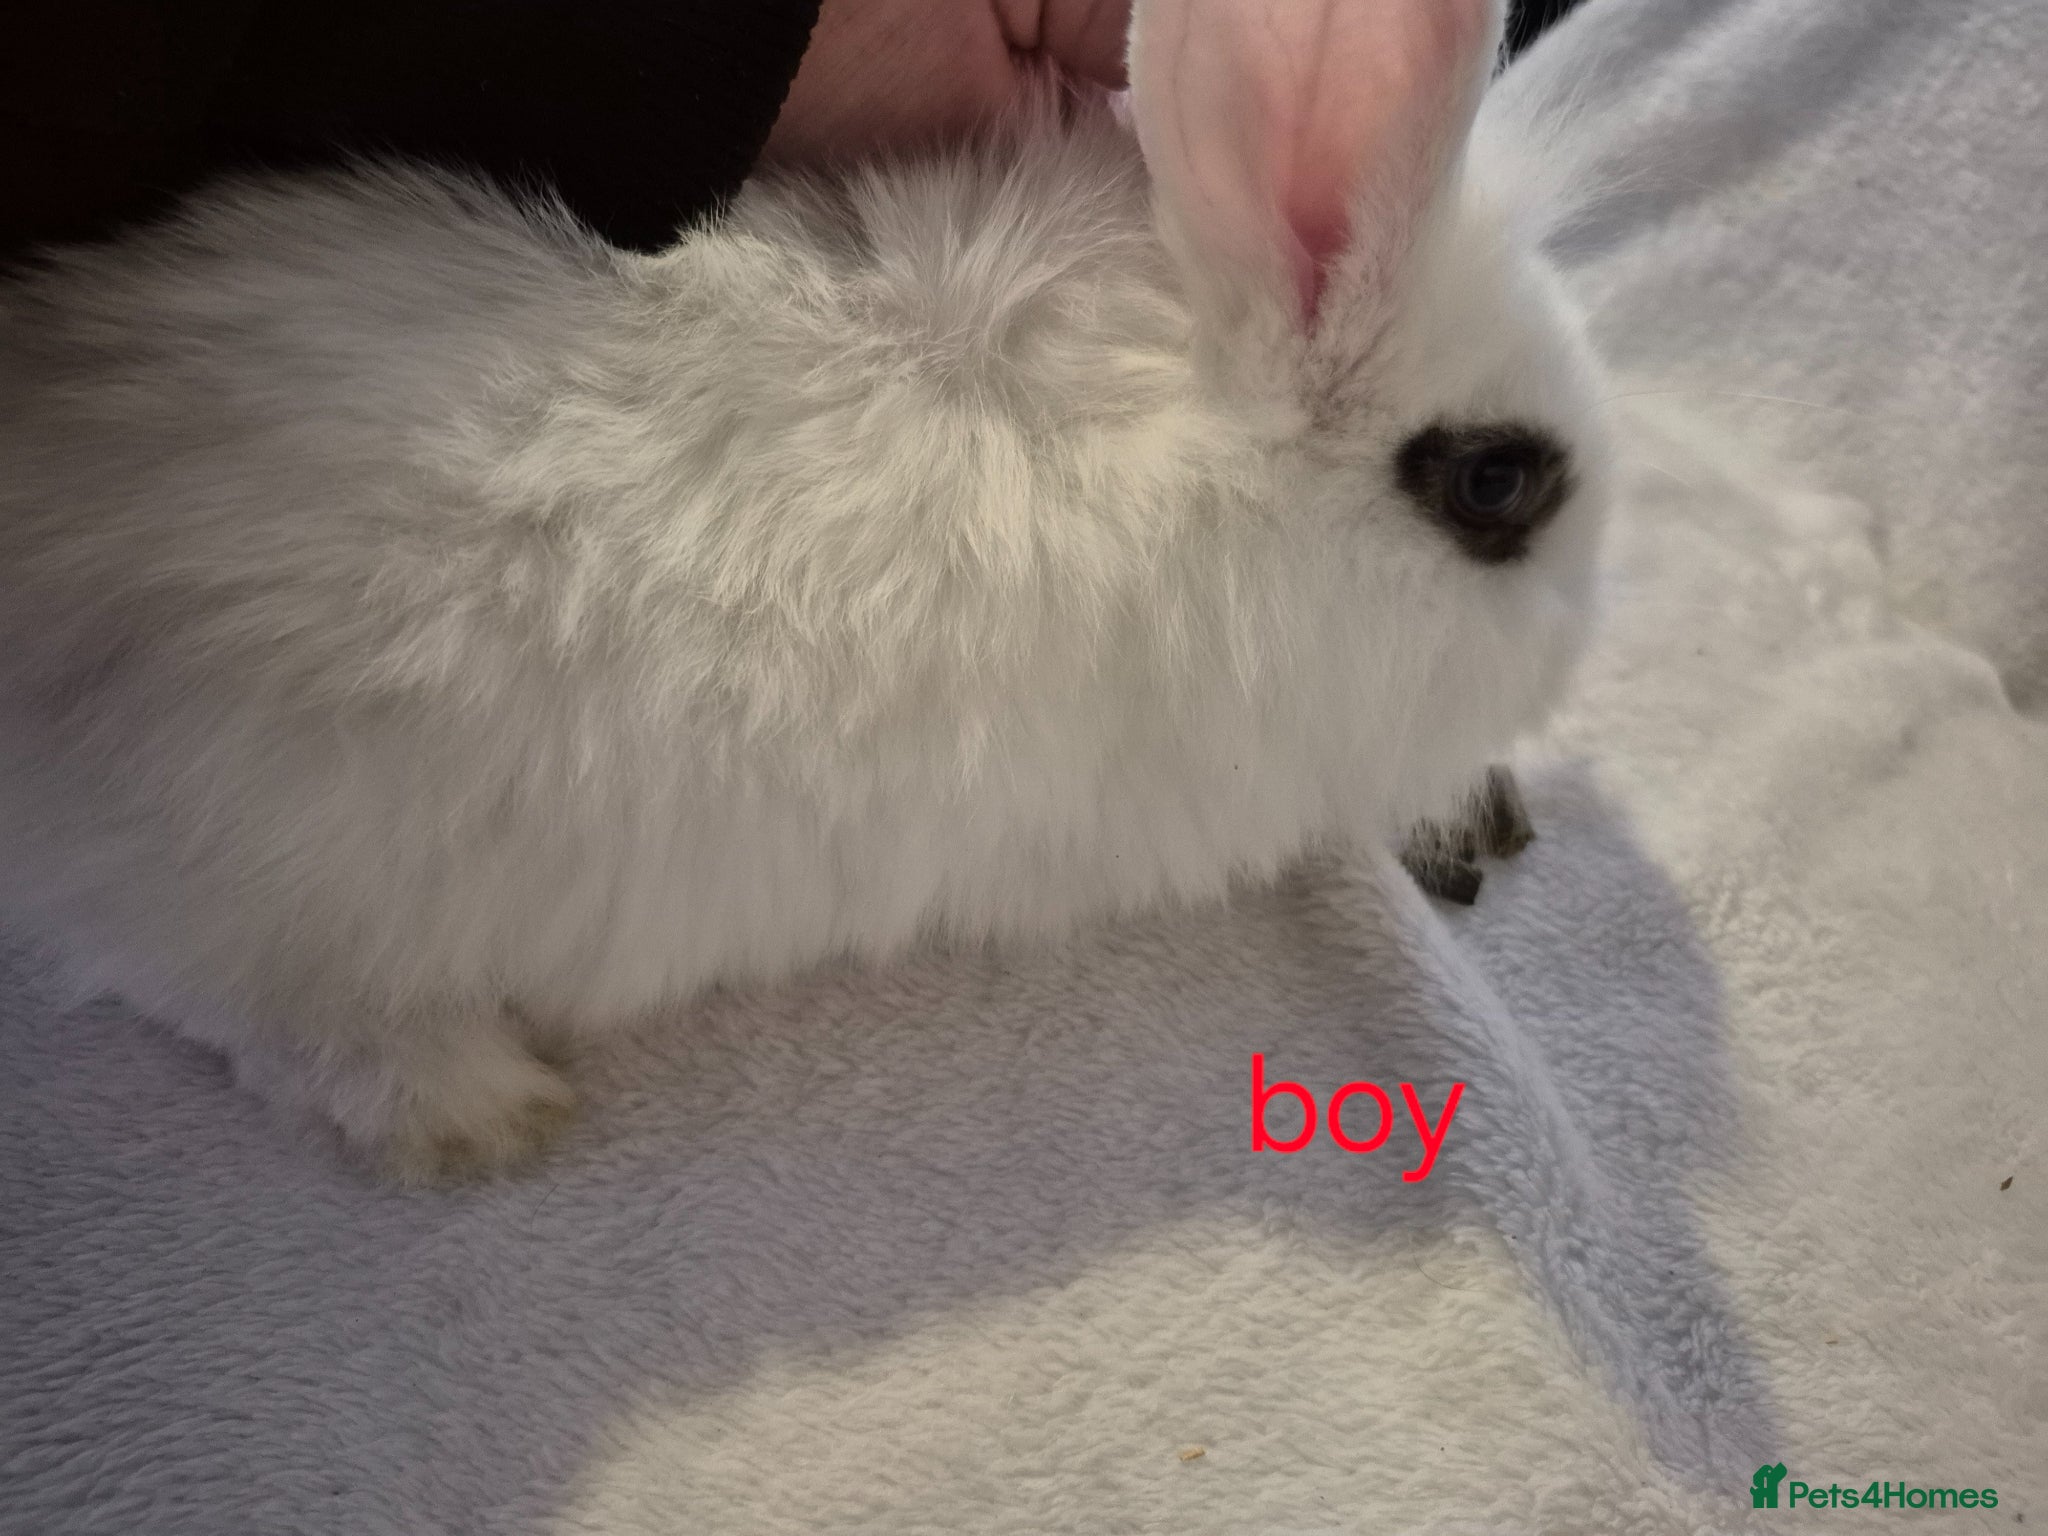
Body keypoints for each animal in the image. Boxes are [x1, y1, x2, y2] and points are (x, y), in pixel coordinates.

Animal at [0, 0, 1612, 1184]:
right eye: (1493, 485)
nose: (1580, 646)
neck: (1208, 445)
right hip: (270, 860)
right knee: (246, 1002)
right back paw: (478, 1114)